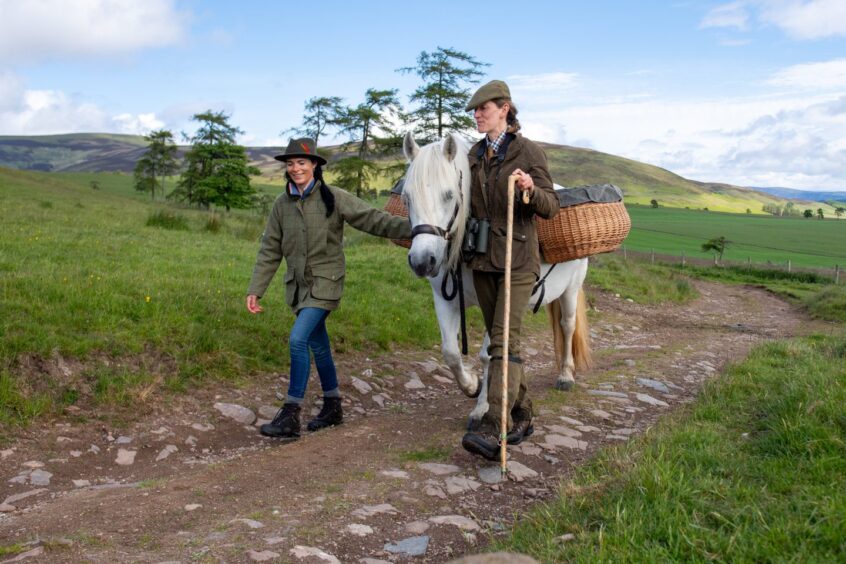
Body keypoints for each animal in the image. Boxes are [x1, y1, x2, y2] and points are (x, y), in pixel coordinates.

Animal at [402, 132, 588, 428]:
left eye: (449, 195)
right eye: (406, 198)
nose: (422, 261)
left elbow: (487, 354)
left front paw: (482, 407)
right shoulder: (445, 299)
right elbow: (450, 352)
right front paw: (471, 385)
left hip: (571, 288)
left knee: (568, 326)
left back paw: (566, 375)